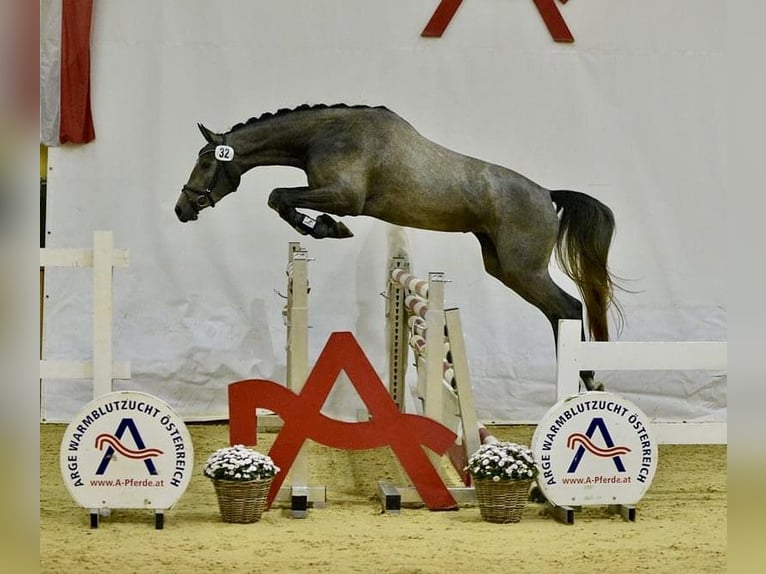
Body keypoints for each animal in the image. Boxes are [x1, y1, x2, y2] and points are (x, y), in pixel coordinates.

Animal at [178, 103, 624, 392]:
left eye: (206, 162)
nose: (182, 209)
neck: (325, 136)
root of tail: (547, 194)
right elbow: (279, 198)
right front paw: (323, 227)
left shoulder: (344, 196)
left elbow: (279, 196)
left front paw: (327, 228)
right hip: (503, 267)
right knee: (558, 312)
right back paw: (580, 379)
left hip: (523, 270)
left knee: (569, 308)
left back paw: (585, 378)